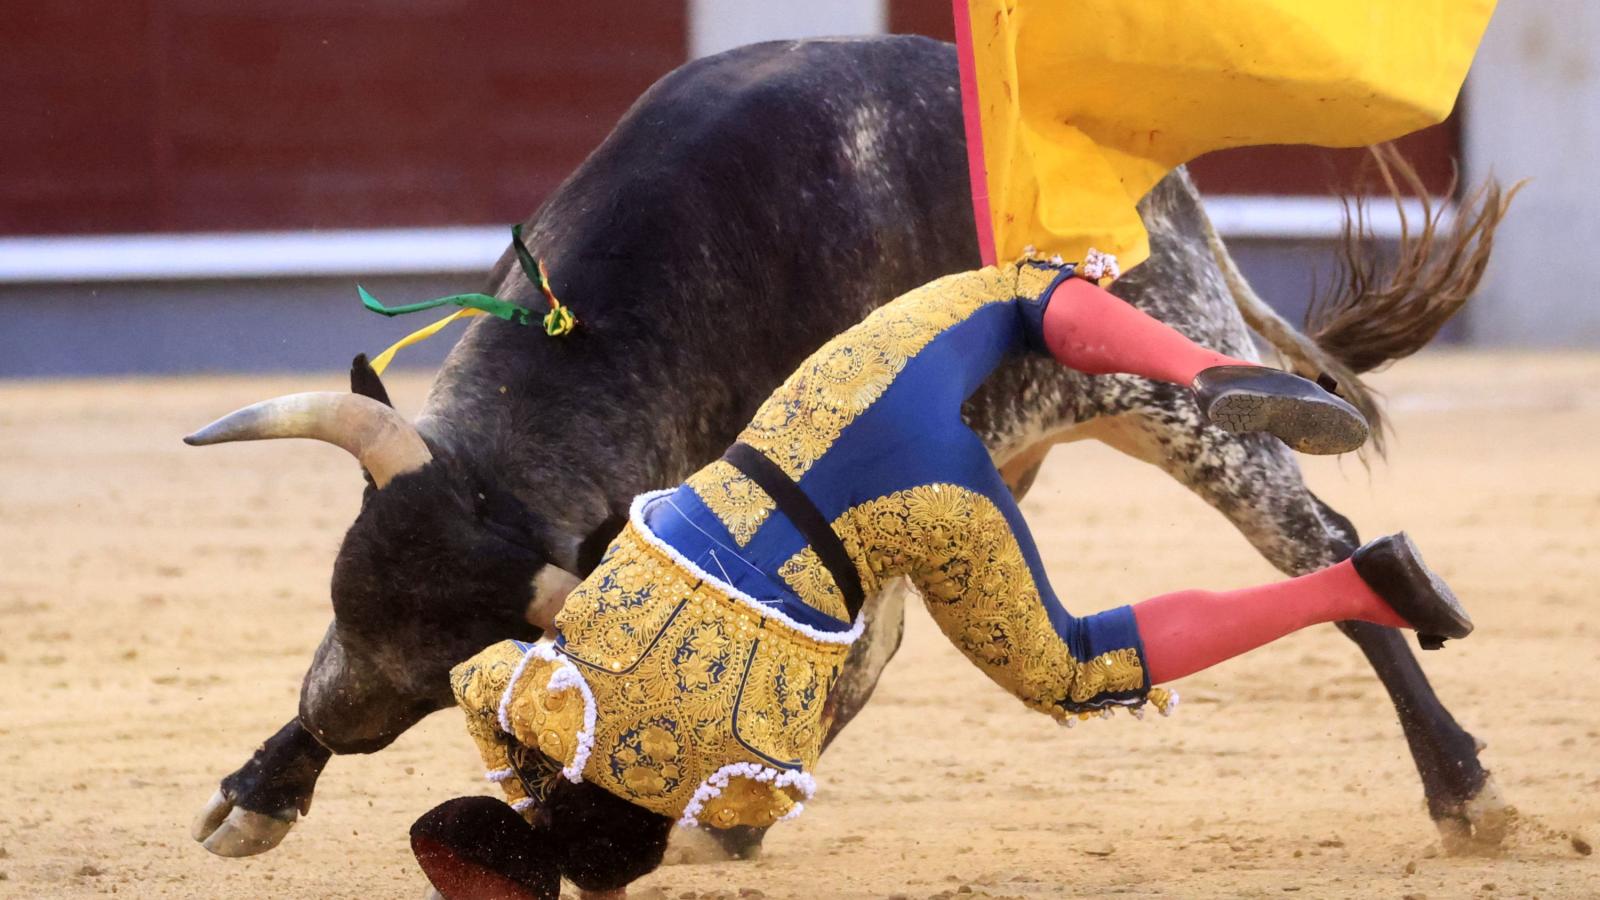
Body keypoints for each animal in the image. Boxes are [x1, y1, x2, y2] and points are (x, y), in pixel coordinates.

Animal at [184, 35, 1497, 858]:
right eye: (346, 604)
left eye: (433, 680)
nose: (333, 721)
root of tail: (1160, 179)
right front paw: (258, 793)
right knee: (888, 647)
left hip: (1173, 395)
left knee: (1318, 544)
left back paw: (1461, 784)